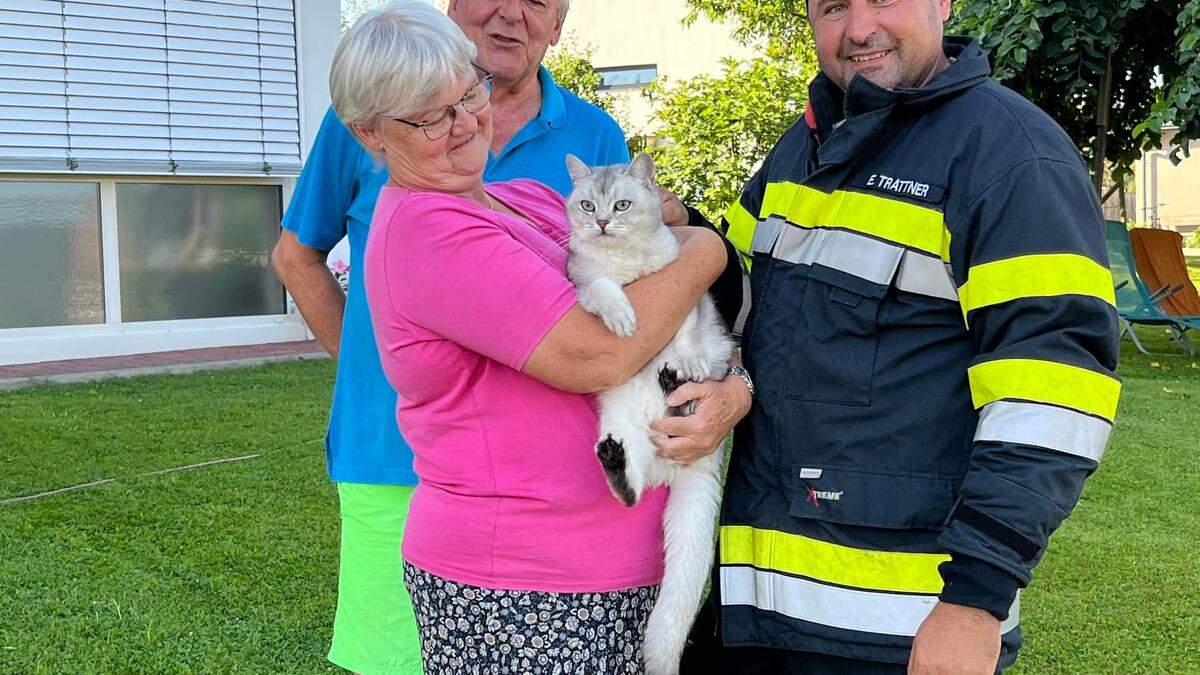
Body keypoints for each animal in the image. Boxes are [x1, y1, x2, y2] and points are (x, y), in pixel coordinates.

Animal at [564, 152, 734, 672]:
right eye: (586, 204)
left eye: (621, 204)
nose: (601, 222)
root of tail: (683, 469)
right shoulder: (582, 283)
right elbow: (603, 287)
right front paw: (622, 316)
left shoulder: (690, 295)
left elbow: (687, 331)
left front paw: (688, 359)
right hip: (620, 427)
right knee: (630, 488)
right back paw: (617, 460)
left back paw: (676, 381)